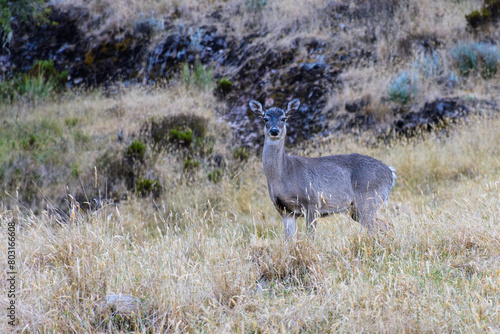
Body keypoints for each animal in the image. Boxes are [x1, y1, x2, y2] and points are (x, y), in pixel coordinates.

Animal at [248, 97, 396, 237]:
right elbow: (289, 240)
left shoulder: (312, 201)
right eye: (265, 119)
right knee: (385, 225)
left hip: (368, 198)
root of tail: (391, 172)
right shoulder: (285, 210)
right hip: (356, 209)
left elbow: (310, 236)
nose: (274, 131)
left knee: (374, 228)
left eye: (284, 118)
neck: (285, 174)